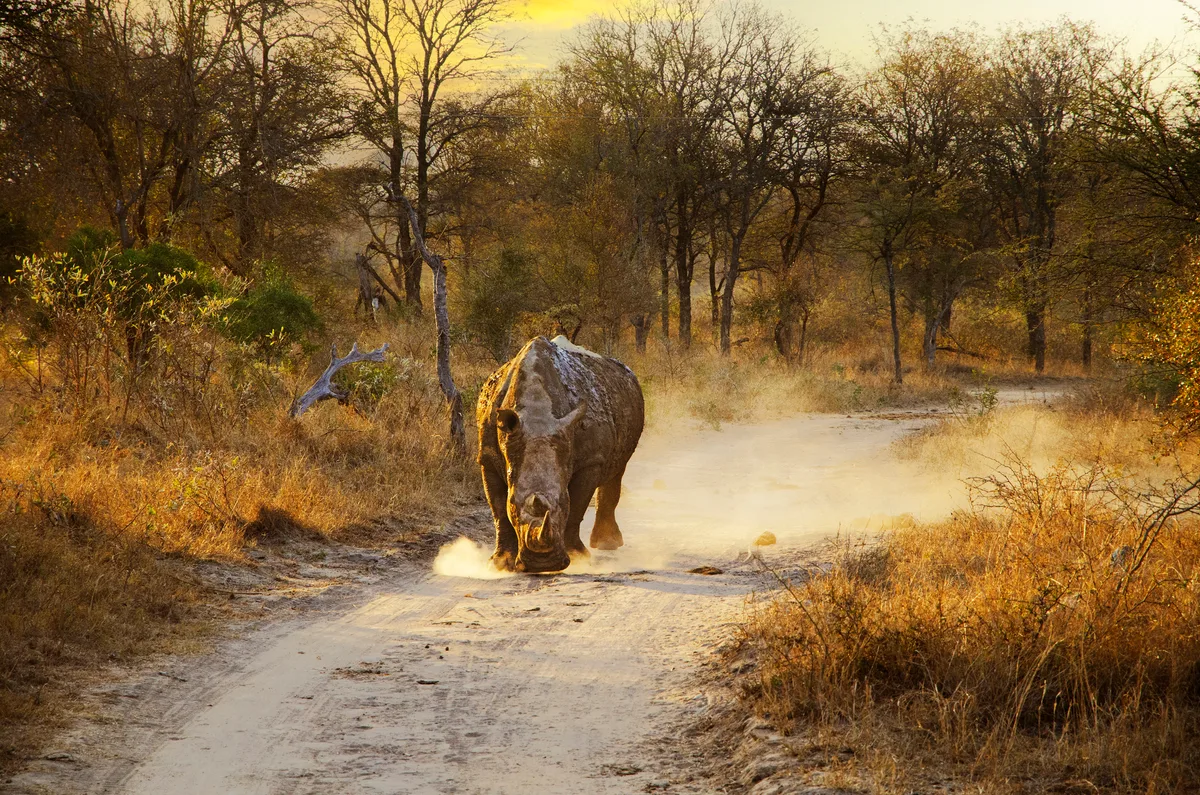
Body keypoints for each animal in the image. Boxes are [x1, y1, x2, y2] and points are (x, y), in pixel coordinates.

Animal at [477, 335, 645, 573]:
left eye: (562, 502)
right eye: (514, 506)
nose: (541, 563)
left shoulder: (589, 461)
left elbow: (577, 508)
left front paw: (578, 557)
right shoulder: (487, 458)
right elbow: (499, 512)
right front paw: (499, 564)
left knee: (617, 470)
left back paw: (607, 545)